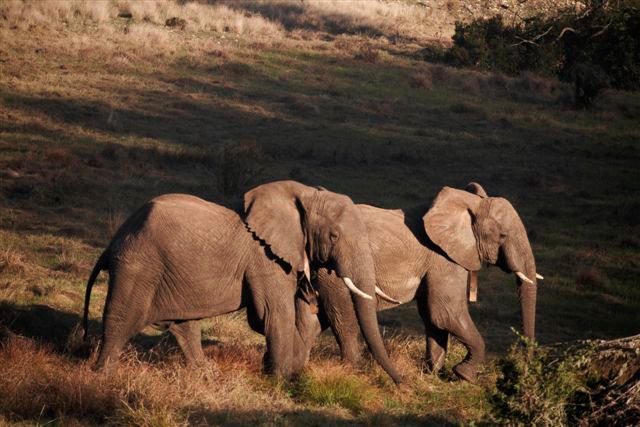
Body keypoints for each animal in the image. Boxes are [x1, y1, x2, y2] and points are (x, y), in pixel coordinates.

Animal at [82, 180, 403, 383]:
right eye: (334, 236)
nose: (403, 383)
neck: (303, 194)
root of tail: (115, 240)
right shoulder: (265, 257)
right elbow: (272, 314)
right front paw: (280, 381)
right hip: (138, 265)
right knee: (123, 318)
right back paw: (102, 376)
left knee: (185, 325)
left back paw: (205, 374)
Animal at [312, 183, 542, 383]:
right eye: (503, 235)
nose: (526, 369)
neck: (469, 204)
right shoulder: (444, 259)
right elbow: (445, 313)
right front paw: (464, 375)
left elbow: (432, 317)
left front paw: (434, 374)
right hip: (334, 274)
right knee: (344, 319)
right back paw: (350, 372)